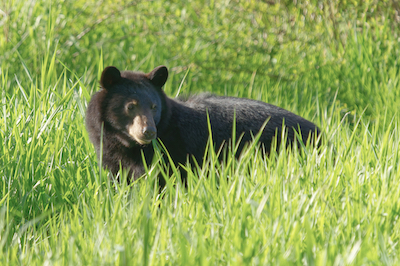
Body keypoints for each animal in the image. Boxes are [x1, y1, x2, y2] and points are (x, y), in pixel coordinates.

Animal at [86, 65, 320, 184]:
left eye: (153, 106)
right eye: (130, 106)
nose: (149, 131)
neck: (127, 145)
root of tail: (320, 131)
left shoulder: (172, 153)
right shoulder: (111, 156)